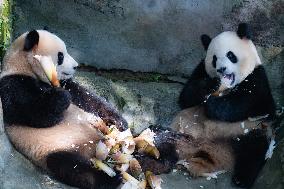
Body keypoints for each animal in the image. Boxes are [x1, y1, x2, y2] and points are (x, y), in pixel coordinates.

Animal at [0, 29, 130, 189]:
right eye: (60, 56)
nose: (76, 66)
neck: (23, 67)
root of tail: (95, 151)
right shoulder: (12, 85)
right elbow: (35, 114)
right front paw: (62, 97)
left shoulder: (65, 84)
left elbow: (87, 98)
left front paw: (120, 121)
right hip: (55, 149)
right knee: (72, 168)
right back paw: (111, 179)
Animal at [168, 22, 276, 188]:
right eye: (214, 59)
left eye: (231, 55)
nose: (221, 69)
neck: (228, 88)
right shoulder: (201, 69)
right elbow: (186, 96)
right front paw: (211, 85)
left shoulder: (258, 78)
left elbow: (248, 104)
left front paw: (212, 106)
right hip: (182, 130)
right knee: (165, 140)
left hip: (248, 131)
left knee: (253, 151)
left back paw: (241, 179)